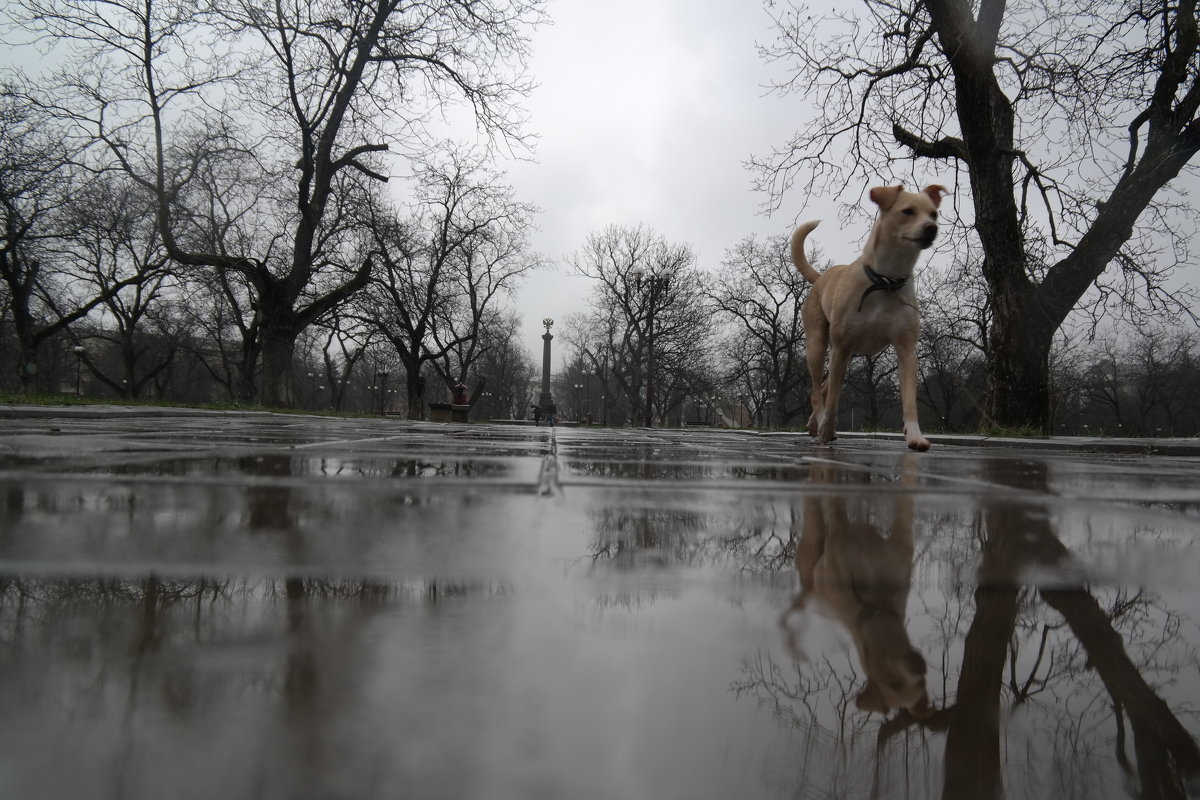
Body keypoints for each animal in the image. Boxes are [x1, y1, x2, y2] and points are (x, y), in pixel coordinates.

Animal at [782, 455, 931, 719]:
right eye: (893, 684)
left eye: (921, 685)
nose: (920, 667)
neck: (877, 608)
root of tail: (809, 589)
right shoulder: (838, 538)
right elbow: (836, 510)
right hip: (813, 535)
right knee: (817, 499)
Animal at [787, 184, 945, 453]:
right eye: (908, 211)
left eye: (934, 214)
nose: (931, 227)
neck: (885, 281)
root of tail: (821, 277)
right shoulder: (840, 347)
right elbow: (832, 402)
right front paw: (826, 431)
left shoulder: (906, 348)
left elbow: (910, 400)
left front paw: (915, 436)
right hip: (819, 346)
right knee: (818, 392)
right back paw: (820, 424)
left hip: (846, 354)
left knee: (825, 386)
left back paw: (815, 425)